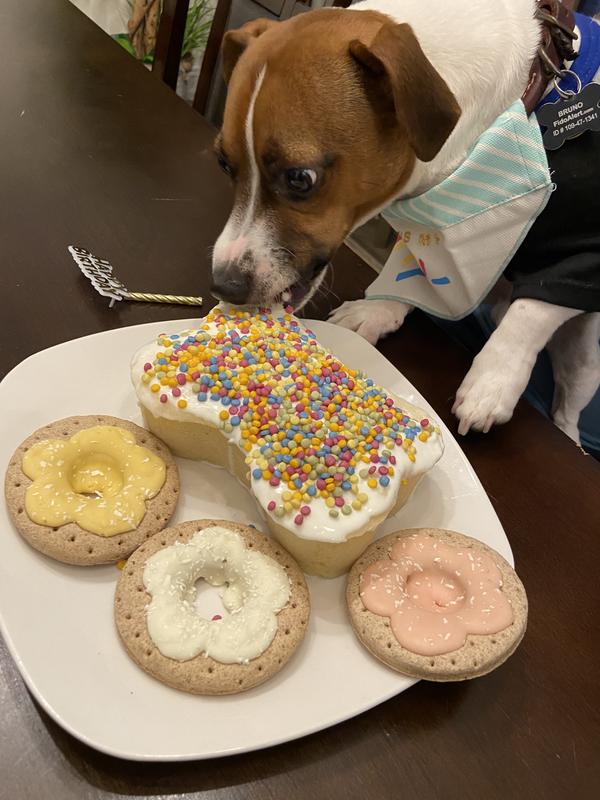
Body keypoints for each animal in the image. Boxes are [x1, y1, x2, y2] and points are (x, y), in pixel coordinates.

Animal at [212, 0, 600, 440]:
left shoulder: (585, 255)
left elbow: (531, 310)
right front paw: (378, 312)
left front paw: (493, 381)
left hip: (585, 363)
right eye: (224, 163)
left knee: (566, 405)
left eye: (299, 178)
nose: (223, 283)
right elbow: (414, 272)